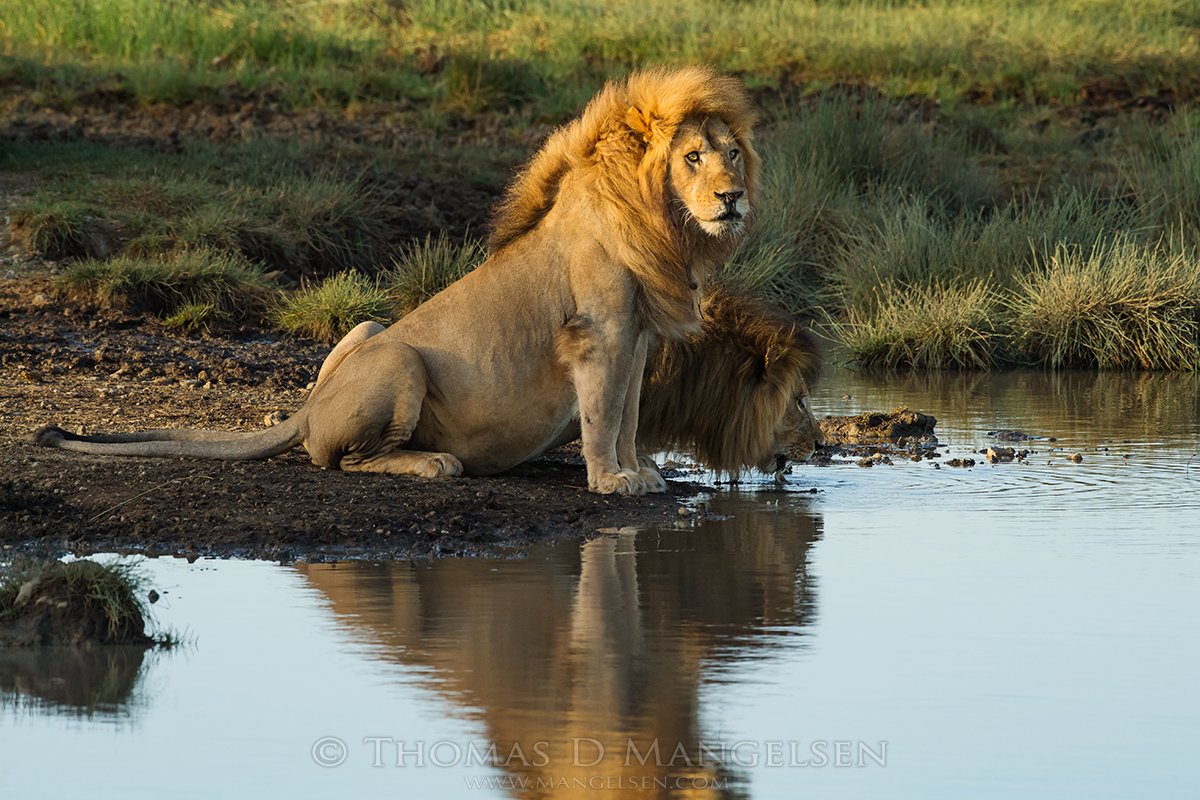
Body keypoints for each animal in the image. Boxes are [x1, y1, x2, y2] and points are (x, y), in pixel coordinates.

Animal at [35, 65, 760, 496]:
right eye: (693, 158)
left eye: (732, 154)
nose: (734, 198)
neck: (663, 224)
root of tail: (307, 409)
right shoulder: (600, 336)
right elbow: (603, 414)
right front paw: (612, 480)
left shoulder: (636, 339)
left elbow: (630, 413)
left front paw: (642, 470)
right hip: (399, 360)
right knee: (339, 461)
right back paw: (432, 464)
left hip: (368, 324)